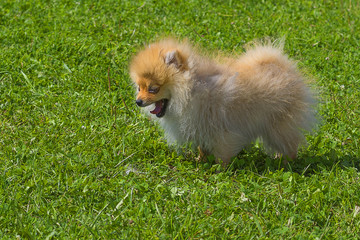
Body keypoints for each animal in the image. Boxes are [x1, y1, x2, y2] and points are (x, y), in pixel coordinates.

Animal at [130, 38, 316, 166]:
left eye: (153, 89)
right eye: (139, 87)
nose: (138, 101)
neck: (192, 91)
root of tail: (285, 68)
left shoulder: (221, 129)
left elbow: (222, 154)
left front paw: (220, 170)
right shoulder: (200, 127)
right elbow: (202, 148)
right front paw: (201, 160)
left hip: (278, 123)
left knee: (289, 145)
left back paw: (285, 163)